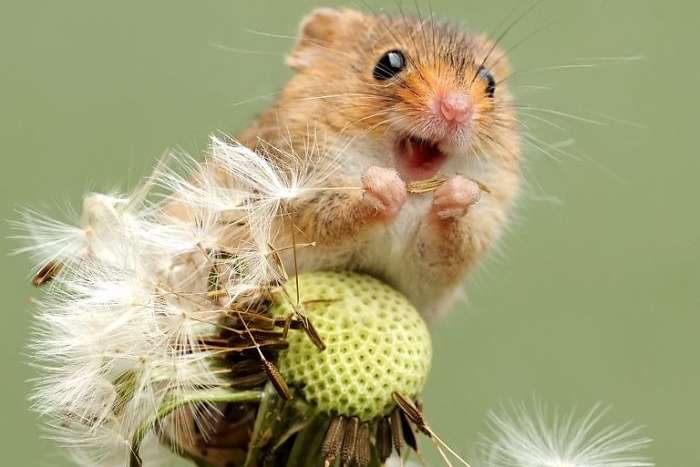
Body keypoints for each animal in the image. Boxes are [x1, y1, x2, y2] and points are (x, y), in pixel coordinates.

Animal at [215, 7, 521, 320]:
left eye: (490, 83)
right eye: (389, 63)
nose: (456, 109)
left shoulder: (441, 272)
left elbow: (448, 246)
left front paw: (457, 193)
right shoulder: (298, 204)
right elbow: (342, 215)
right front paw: (384, 187)